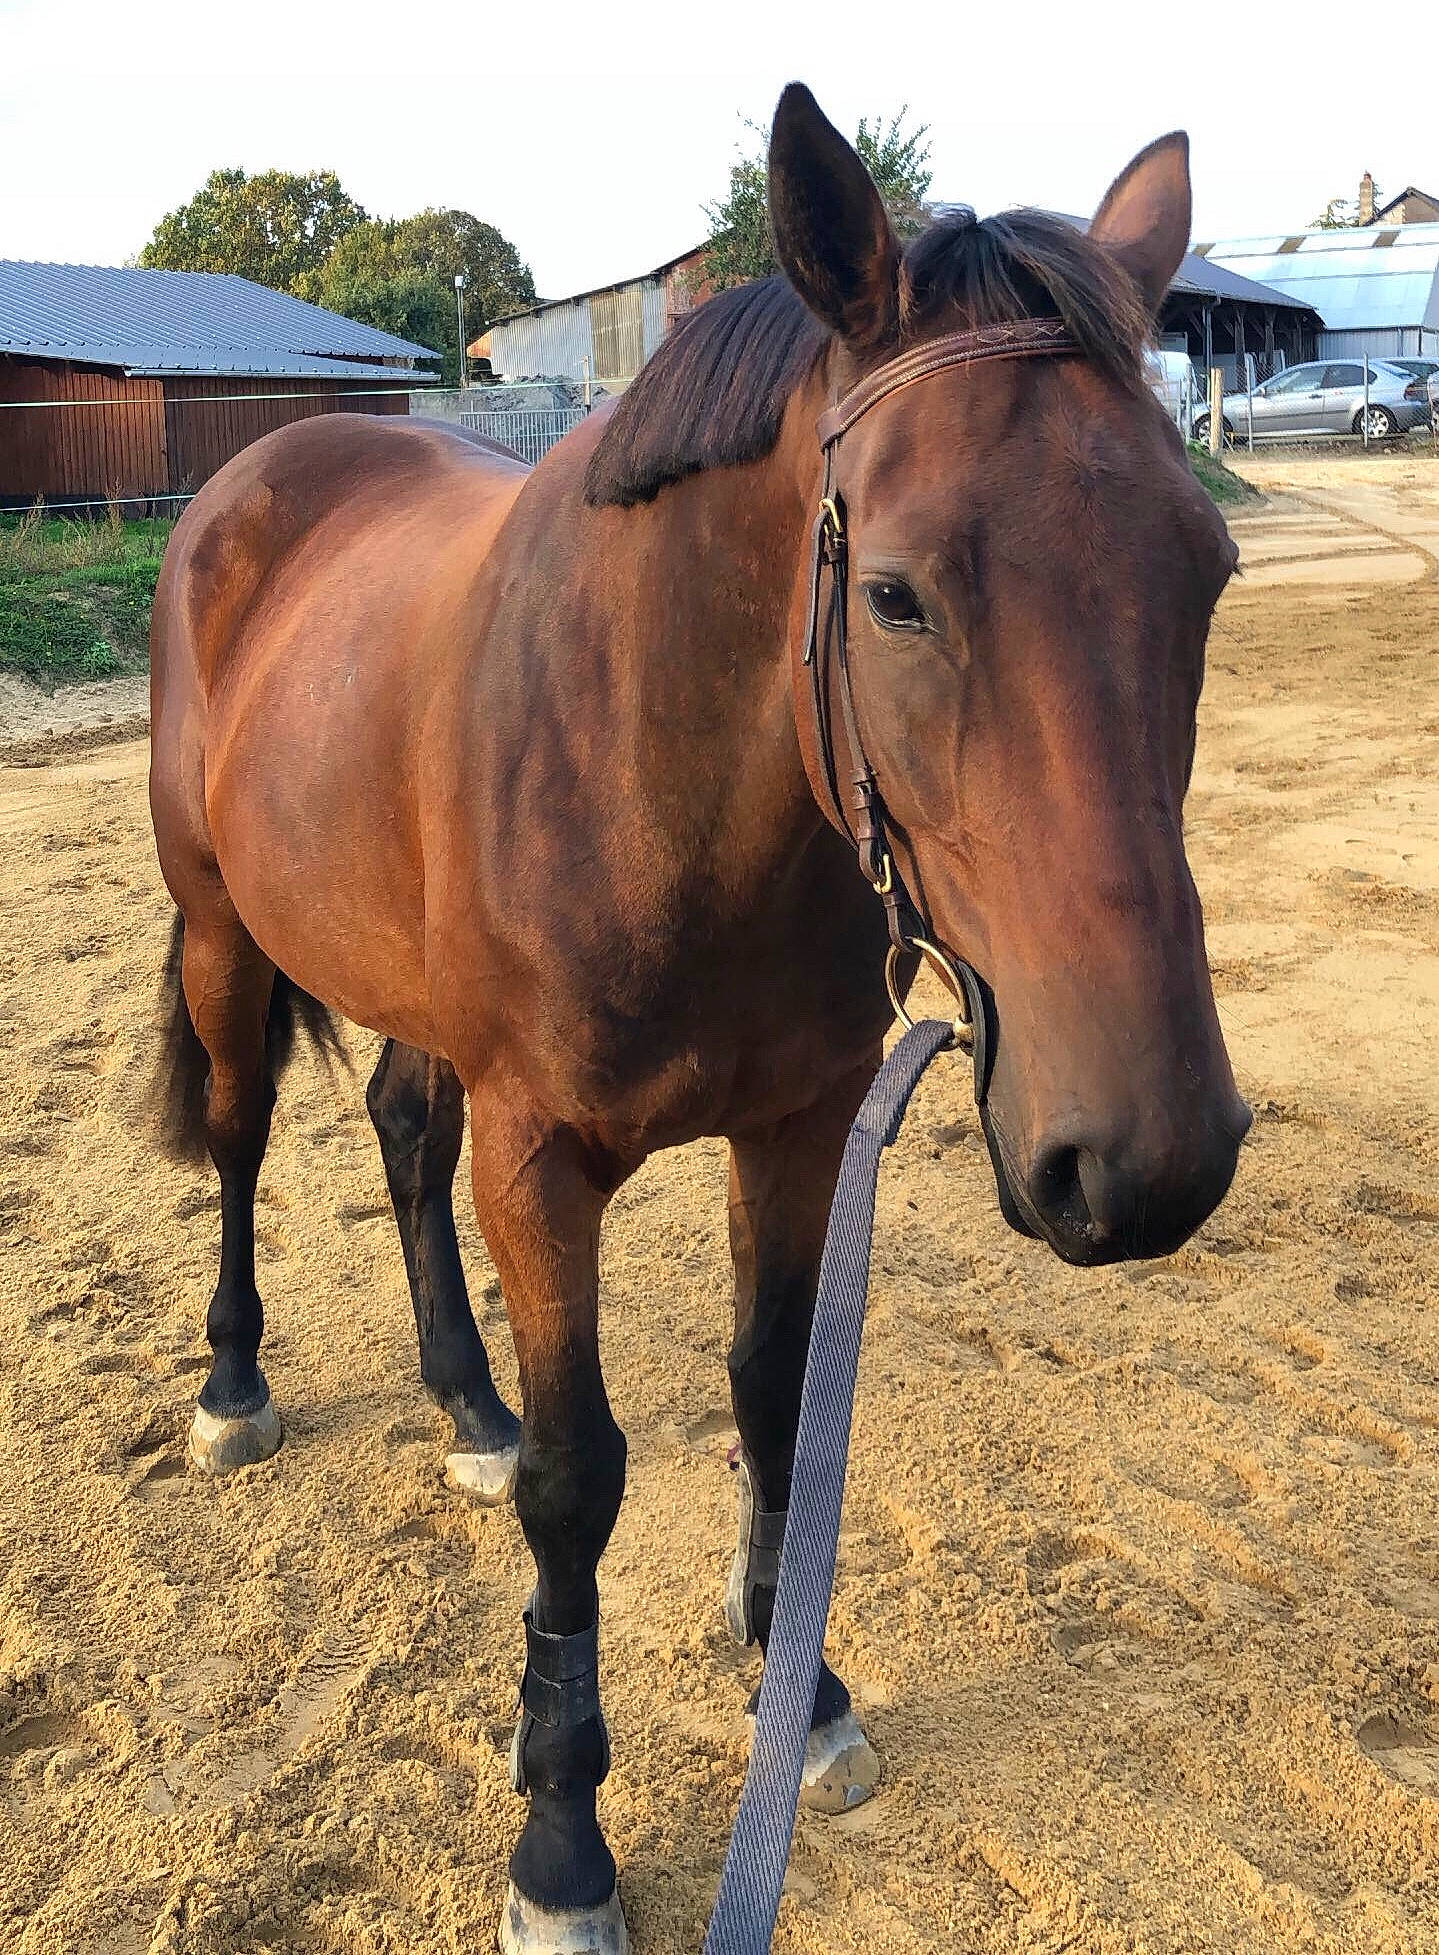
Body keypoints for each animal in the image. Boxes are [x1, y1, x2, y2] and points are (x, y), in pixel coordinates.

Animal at [148, 83, 1249, 1955]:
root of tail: (259, 476)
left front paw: (798, 1697)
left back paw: (460, 1401)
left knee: (399, 1131)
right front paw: (558, 1840)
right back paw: (237, 1386)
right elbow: (576, 1482)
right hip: (223, 927)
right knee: (237, 1138)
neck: (657, 767)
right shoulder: (543, 1162)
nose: (1148, 1158)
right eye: (891, 592)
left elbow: (774, 1401)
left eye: (1207, 571)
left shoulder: (798, 1128)